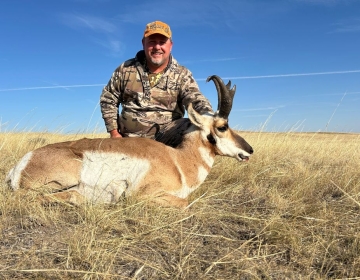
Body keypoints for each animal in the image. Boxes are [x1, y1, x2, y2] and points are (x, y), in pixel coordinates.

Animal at [4, 75, 253, 208]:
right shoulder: (145, 194)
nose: (249, 150)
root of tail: (22, 163)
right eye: (222, 127)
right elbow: (185, 203)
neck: (178, 161)